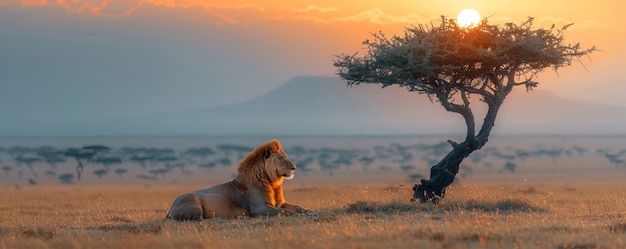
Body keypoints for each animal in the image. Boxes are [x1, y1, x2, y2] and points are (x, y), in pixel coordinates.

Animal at [165, 139, 314, 221]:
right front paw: (301, 216)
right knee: (200, 219)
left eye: (286, 156)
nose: (294, 167)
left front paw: (309, 211)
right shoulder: (260, 207)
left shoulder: (279, 203)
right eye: (281, 158)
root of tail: (170, 209)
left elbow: (297, 207)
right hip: (192, 199)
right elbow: (285, 212)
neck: (272, 182)